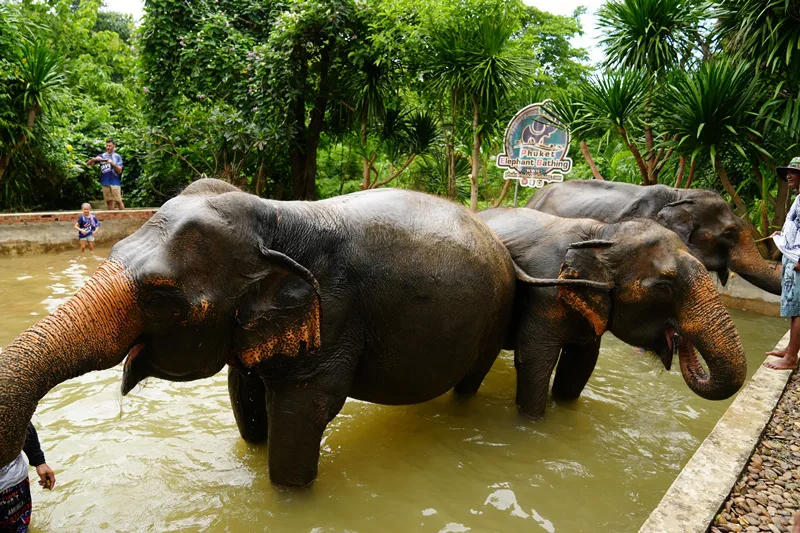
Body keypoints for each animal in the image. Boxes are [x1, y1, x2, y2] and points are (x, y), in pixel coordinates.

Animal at [0, 179, 598, 488]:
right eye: (115, 249)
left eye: (161, 294)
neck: (278, 218)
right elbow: (245, 397)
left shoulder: (332, 316)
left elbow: (302, 412)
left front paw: (288, 493)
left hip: (492, 317)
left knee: (470, 380)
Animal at [478, 207, 747, 418]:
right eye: (664, 286)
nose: (680, 339)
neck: (602, 234)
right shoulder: (545, 294)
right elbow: (535, 361)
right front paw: (532, 423)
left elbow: (581, 364)